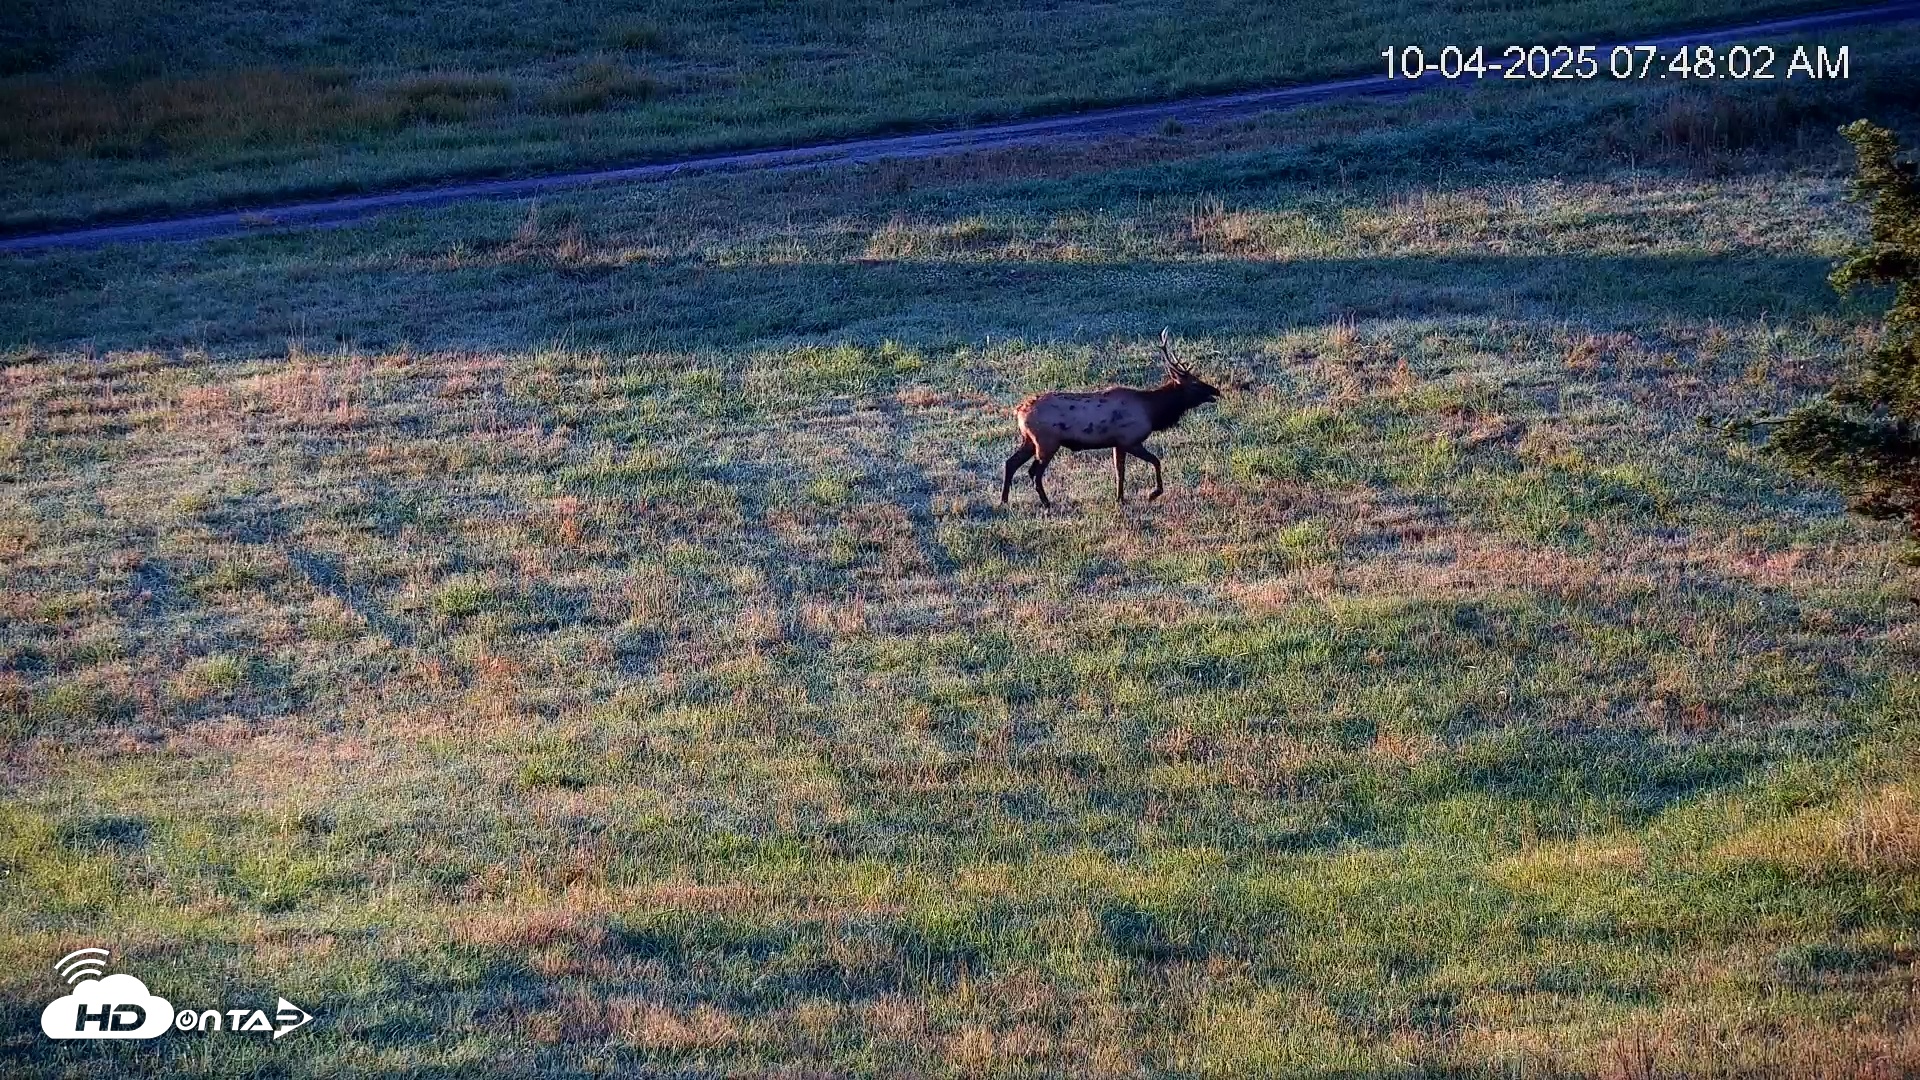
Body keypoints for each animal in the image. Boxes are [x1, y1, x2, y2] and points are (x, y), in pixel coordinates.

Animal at [1001, 329, 1222, 508]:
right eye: (1194, 383)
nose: (1216, 391)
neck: (1152, 411)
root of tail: (1019, 411)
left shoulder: (1118, 443)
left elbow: (1119, 471)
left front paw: (1120, 498)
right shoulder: (1130, 439)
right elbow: (1156, 461)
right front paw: (1154, 493)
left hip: (1029, 439)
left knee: (1011, 463)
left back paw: (1004, 500)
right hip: (1047, 441)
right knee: (1034, 472)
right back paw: (1046, 503)